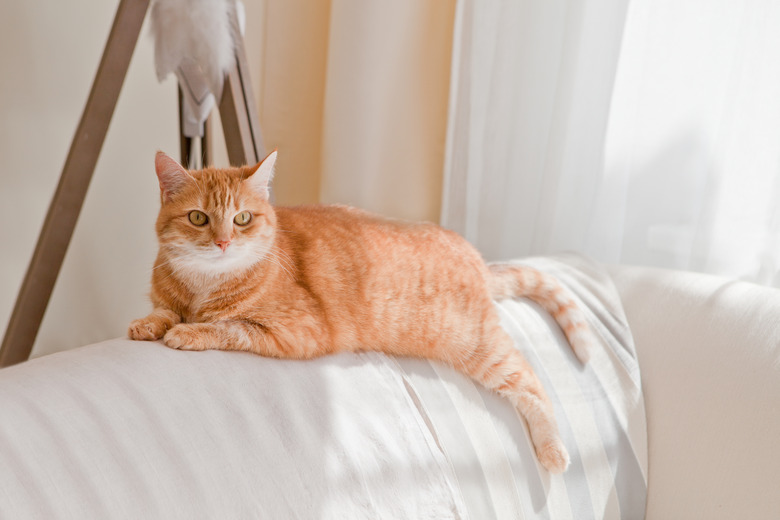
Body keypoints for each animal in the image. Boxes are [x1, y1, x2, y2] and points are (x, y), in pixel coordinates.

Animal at [129, 149, 592, 472]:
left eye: (242, 219)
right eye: (198, 218)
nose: (223, 242)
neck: (203, 285)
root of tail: (476, 256)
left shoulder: (295, 332)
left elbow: (226, 326)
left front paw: (189, 332)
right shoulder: (168, 298)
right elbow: (162, 312)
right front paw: (147, 324)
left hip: (478, 346)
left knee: (531, 382)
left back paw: (554, 452)